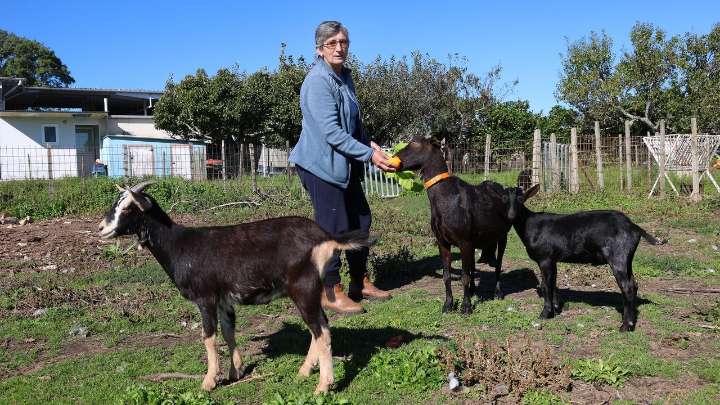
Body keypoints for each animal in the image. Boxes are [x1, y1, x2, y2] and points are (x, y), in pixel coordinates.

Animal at [97, 182, 372, 393]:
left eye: (128, 207)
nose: (101, 228)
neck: (179, 246)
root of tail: (324, 236)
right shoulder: (223, 299)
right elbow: (229, 332)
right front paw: (235, 371)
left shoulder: (205, 297)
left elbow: (208, 337)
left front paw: (208, 382)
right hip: (310, 290)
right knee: (320, 325)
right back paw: (304, 372)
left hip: (303, 287)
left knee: (321, 331)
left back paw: (323, 386)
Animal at [393, 137, 513, 314]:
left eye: (415, 143)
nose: (393, 158)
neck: (444, 196)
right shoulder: (442, 241)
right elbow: (447, 275)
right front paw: (448, 304)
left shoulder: (464, 242)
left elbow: (464, 276)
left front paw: (466, 306)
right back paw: (473, 290)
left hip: (502, 235)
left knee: (497, 265)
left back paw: (497, 292)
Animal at [495, 184, 665, 331]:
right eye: (503, 198)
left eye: (521, 198)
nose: (511, 215)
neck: (530, 225)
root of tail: (634, 227)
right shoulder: (553, 259)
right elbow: (553, 283)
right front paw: (556, 309)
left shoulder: (545, 258)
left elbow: (545, 285)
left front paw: (545, 313)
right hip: (627, 258)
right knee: (634, 284)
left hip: (618, 256)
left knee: (627, 286)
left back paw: (626, 326)